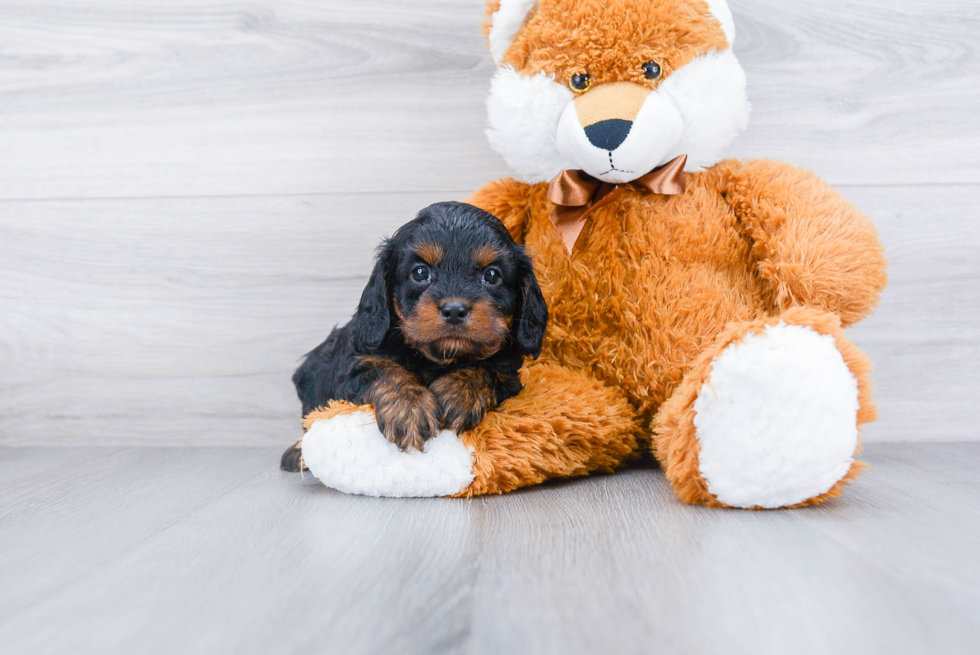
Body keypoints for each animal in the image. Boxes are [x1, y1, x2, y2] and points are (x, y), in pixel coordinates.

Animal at [280, 200, 548, 472]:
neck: (438, 358)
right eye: (420, 273)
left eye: (492, 275)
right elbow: (383, 369)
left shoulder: (509, 374)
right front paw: (408, 408)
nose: (454, 310)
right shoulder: (354, 362)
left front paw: (458, 392)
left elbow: (486, 369)